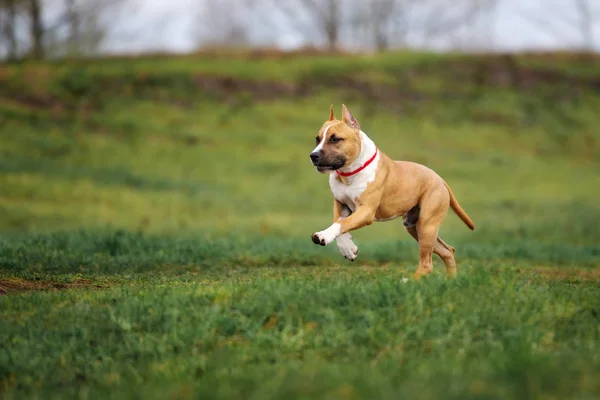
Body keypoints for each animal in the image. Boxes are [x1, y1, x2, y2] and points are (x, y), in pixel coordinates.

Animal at [310, 104, 474, 276]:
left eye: (335, 139)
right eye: (317, 138)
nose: (313, 155)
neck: (348, 174)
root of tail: (440, 179)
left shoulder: (366, 211)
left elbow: (343, 223)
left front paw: (323, 236)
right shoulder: (340, 204)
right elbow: (339, 222)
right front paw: (348, 249)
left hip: (427, 225)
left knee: (427, 263)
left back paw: (409, 280)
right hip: (416, 227)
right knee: (447, 251)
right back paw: (451, 280)